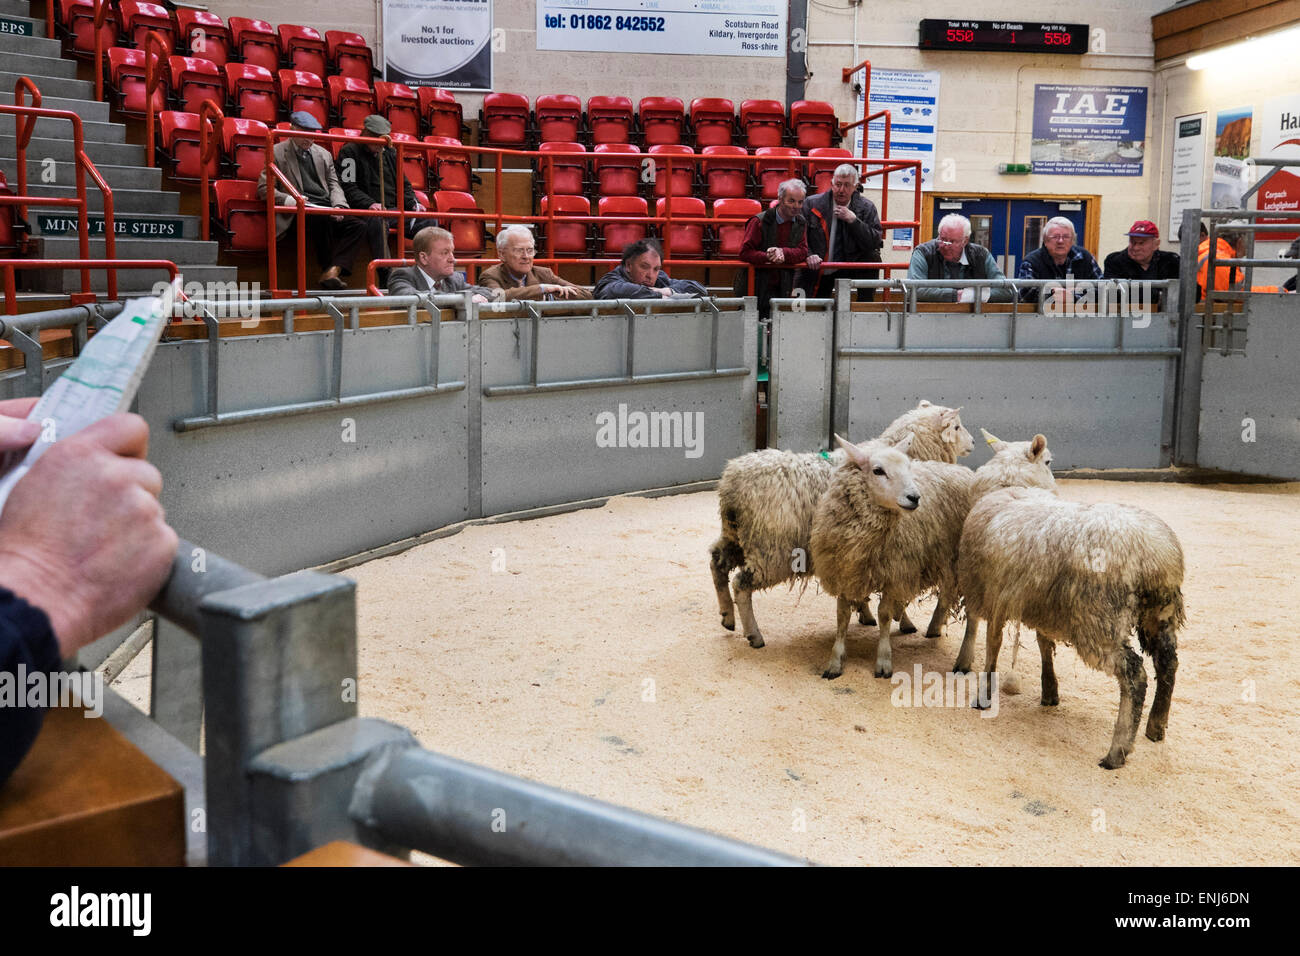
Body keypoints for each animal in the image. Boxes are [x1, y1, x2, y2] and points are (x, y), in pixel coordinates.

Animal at [712, 400, 977, 647]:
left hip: (736, 537)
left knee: (717, 562)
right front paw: (903, 621)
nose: (973, 443)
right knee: (741, 584)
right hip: (771, 549)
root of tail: (732, 483)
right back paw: (754, 635)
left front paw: (865, 612)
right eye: (956, 426)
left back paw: (727, 616)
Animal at [811, 426, 1055, 681]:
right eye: (878, 470)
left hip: (966, 564)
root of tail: (964, 471)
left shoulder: (894, 572)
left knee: (971, 613)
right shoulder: (843, 569)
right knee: (945, 595)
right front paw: (835, 661)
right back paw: (929, 626)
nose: (914, 497)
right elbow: (842, 616)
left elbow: (884, 614)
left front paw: (884, 660)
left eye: (909, 467)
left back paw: (962, 658)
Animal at [951, 486, 1185, 770]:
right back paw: (1156, 726)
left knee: (1134, 674)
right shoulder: (1040, 606)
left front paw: (983, 696)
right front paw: (1050, 691)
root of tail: (1154, 554)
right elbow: (1043, 644)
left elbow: (992, 649)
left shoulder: (996, 596)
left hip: (1098, 620)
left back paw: (1117, 751)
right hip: (1160, 614)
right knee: (1167, 663)